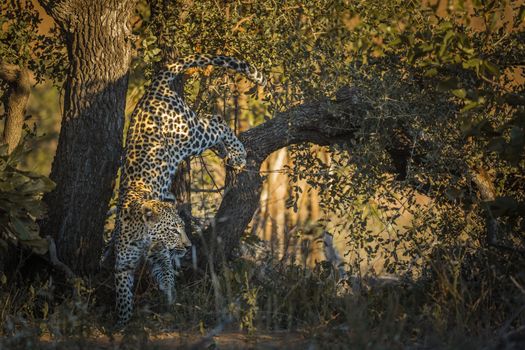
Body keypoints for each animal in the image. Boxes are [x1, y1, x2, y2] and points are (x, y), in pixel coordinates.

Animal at [108, 54, 264, 326]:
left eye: (181, 227)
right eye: (173, 230)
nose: (187, 244)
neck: (143, 237)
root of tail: (155, 87)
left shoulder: (159, 256)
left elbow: (167, 277)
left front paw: (170, 301)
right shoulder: (123, 266)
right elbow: (124, 297)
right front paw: (122, 323)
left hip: (189, 136)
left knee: (216, 121)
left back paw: (237, 154)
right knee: (214, 123)